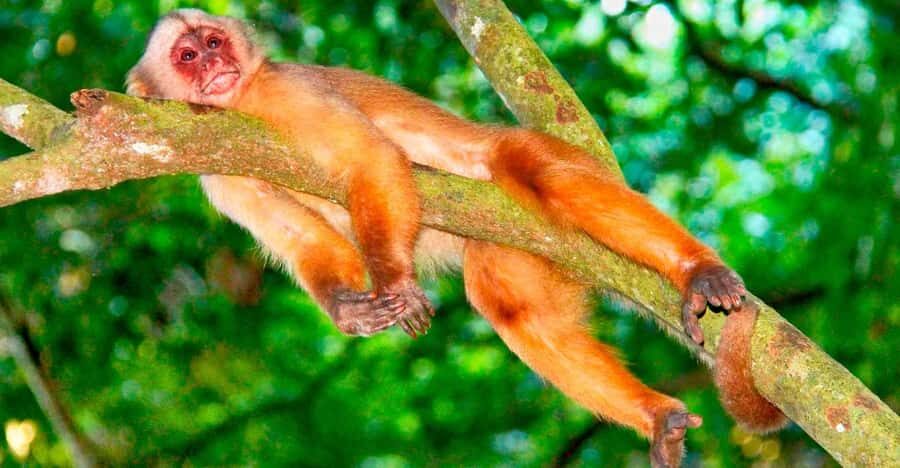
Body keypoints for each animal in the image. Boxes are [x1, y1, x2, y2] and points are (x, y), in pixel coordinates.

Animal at [126, 9, 787, 466]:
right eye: (186, 55)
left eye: (214, 43)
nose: (213, 68)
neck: (242, 107)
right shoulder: (215, 170)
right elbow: (307, 243)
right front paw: (350, 309)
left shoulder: (281, 92)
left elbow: (370, 160)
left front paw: (396, 282)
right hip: (515, 245)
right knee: (509, 303)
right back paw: (656, 416)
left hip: (539, 169)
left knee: (535, 173)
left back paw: (696, 271)